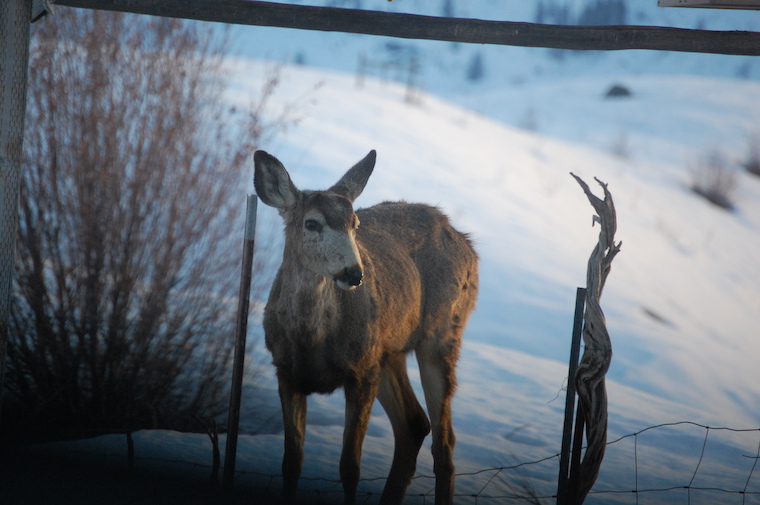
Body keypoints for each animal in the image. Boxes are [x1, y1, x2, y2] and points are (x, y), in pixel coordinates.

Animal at [253, 149, 478, 505]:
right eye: (311, 223)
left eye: (355, 224)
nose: (354, 273)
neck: (311, 341)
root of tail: (466, 243)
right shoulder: (286, 372)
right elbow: (291, 463)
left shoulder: (361, 374)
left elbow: (350, 467)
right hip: (387, 352)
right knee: (414, 423)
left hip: (439, 338)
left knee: (444, 445)